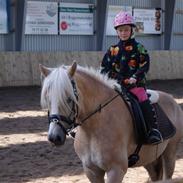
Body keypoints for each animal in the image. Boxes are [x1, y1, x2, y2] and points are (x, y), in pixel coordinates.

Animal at [39, 62, 183, 182]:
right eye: (47, 99)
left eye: (69, 99)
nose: (54, 137)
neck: (94, 128)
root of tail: (172, 100)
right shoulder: (91, 171)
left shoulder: (116, 170)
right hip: (150, 158)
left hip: (169, 153)